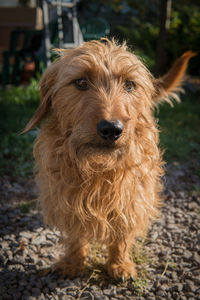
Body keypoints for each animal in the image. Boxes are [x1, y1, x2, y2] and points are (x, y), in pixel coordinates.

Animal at [22, 38, 195, 280]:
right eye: (81, 82)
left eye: (129, 85)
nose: (112, 129)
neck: (97, 165)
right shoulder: (64, 194)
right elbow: (75, 232)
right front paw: (73, 263)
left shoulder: (131, 194)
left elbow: (122, 229)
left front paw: (119, 264)